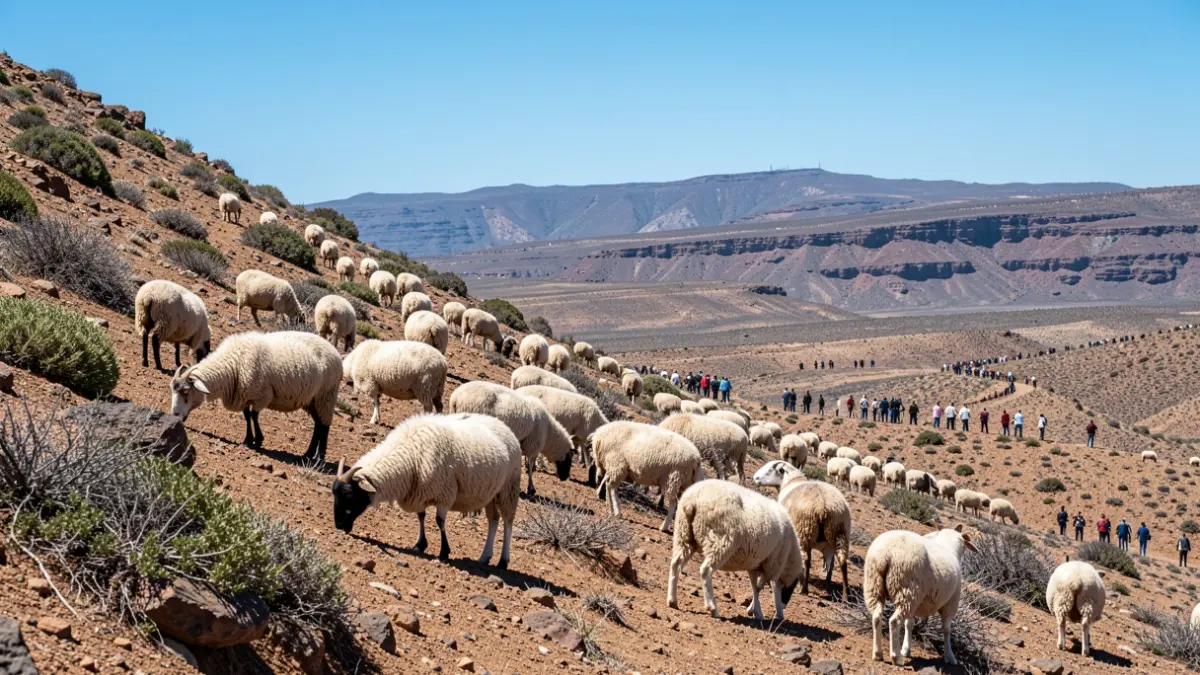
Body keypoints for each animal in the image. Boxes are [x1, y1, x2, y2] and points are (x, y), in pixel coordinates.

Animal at [170, 331, 340, 461]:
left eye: (186, 392)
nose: (175, 415)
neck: (233, 364)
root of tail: (335, 352)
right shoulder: (244, 395)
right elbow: (247, 416)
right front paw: (248, 439)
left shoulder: (262, 395)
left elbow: (254, 415)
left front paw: (258, 440)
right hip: (312, 400)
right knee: (318, 424)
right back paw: (308, 454)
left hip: (326, 395)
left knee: (325, 426)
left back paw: (320, 457)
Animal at [331, 413, 521, 568]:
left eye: (349, 494)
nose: (339, 526)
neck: (411, 454)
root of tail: (504, 426)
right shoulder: (419, 493)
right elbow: (421, 517)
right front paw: (419, 545)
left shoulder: (445, 494)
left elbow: (439, 521)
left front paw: (444, 552)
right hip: (491, 493)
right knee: (493, 520)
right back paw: (484, 557)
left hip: (509, 489)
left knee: (508, 522)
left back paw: (503, 561)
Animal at [667, 480, 803, 620]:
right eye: (791, 587)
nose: (783, 607)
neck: (790, 553)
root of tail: (692, 501)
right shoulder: (772, 565)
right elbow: (760, 587)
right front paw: (758, 611)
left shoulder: (754, 564)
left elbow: (755, 587)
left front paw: (756, 611)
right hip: (721, 541)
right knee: (705, 570)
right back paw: (712, 607)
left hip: (683, 534)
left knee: (676, 564)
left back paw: (672, 600)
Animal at [753, 460, 851, 599]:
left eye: (771, 469)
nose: (755, 478)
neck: (790, 482)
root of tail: (823, 506)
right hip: (839, 532)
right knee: (841, 562)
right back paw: (842, 595)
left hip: (804, 531)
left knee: (806, 560)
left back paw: (803, 588)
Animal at [864, 526, 977, 666]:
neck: (948, 546)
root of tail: (887, 553)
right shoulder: (951, 603)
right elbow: (946, 630)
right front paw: (950, 656)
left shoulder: (915, 604)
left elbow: (909, 624)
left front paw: (906, 649)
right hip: (907, 590)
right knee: (894, 621)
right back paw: (896, 657)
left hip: (877, 587)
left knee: (876, 617)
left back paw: (878, 654)